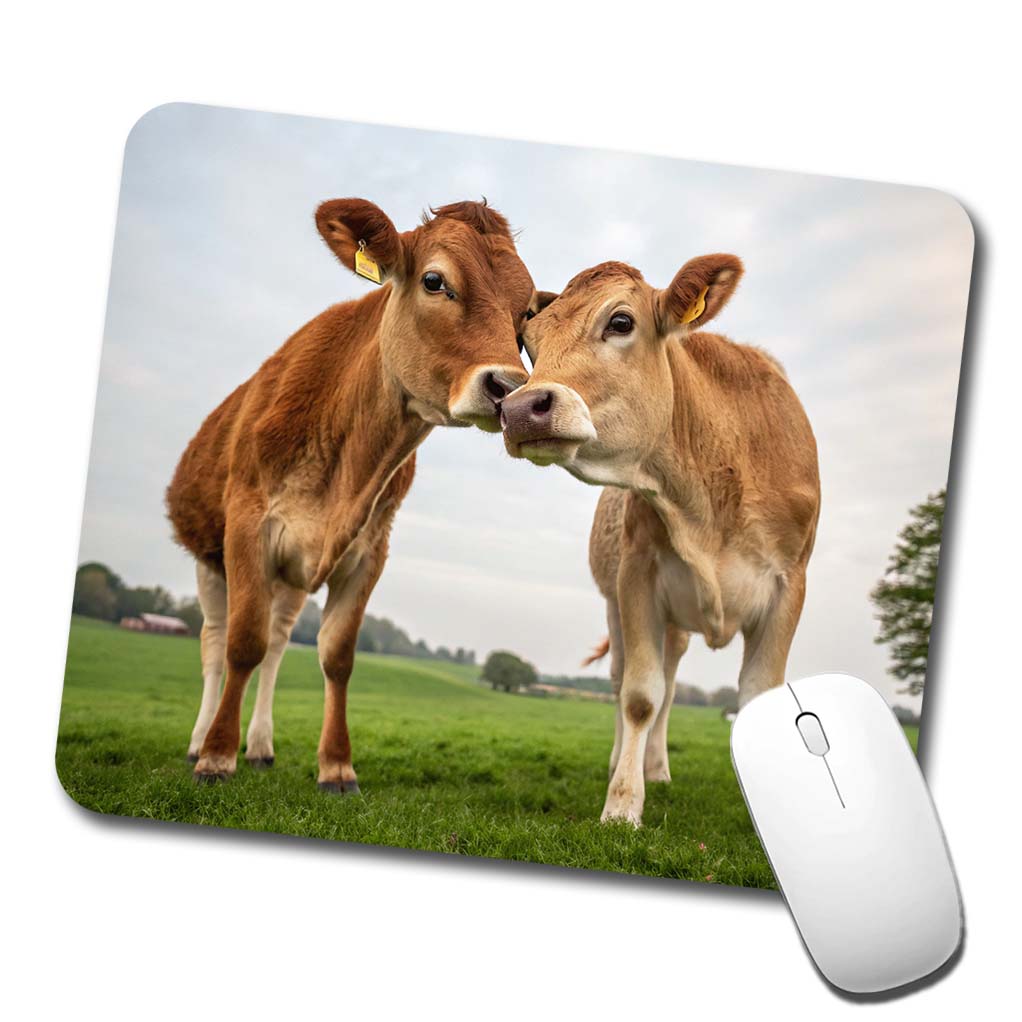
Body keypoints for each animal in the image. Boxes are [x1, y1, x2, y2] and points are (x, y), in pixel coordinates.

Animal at [166, 198, 539, 791]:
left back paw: (261, 746)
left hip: (290, 579)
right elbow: (242, 644)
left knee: (278, 643)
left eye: (526, 311)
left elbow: (336, 655)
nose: (509, 390)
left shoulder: (368, 550)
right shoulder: (249, 526)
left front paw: (336, 766)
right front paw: (216, 756)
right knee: (214, 643)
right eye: (435, 281)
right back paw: (201, 740)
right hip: (209, 557)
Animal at [500, 256, 820, 826]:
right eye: (529, 343)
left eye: (621, 322)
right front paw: (622, 806)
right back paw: (627, 764)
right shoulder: (637, 576)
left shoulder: (790, 586)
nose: (519, 409)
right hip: (622, 607)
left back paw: (658, 768)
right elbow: (640, 696)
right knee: (631, 680)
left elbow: (750, 696)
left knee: (672, 687)